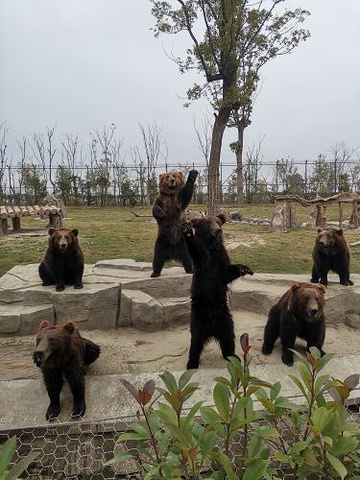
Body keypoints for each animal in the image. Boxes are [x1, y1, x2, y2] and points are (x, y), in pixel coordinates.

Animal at [183, 212, 253, 370]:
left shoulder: (221, 258)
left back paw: (232, 356)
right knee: (195, 342)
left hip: (225, 319)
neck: (212, 247)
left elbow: (227, 273)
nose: (218, 230)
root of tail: (212, 330)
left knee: (228, 338)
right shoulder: (204, 262)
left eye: (218, 222)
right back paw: (192, 363)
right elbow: (197, 252)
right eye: (208, 223)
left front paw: (245, 269)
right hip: (198, 320)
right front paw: (188, 230)